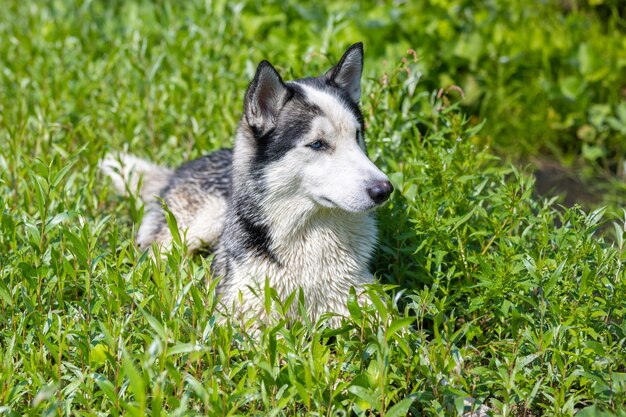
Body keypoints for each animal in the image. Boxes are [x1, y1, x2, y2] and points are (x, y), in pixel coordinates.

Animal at [103, 43, 394, 322]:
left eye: (357, 135)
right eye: (317, 144)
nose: (384, 190)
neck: (311, 234)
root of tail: (179, 170)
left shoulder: (364, 297)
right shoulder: (242, 309)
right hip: (200, 225)